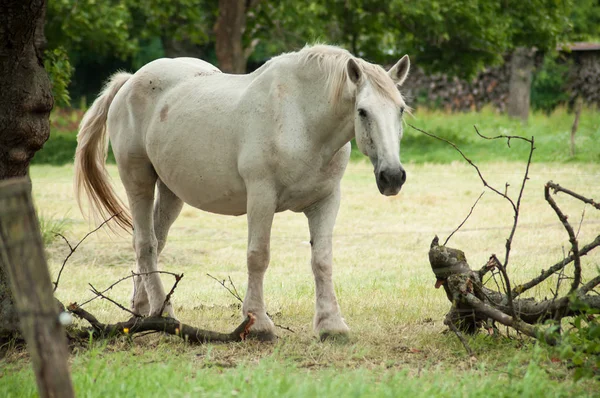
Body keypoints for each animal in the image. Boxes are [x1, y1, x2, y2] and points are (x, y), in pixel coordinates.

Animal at [74, 45, 408, 340]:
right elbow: (258, 256)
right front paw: (259, 323)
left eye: (401, 110)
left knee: (155, 242)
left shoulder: (325, 201)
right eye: (362, 112)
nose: (392, 176)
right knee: (146, 243)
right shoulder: (261, 196)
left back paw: (141, 310)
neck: (301, 119)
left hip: (170, 192)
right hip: (138, 180)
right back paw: (163, 312)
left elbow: (322, 260)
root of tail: (130, 80)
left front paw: (331, 326)